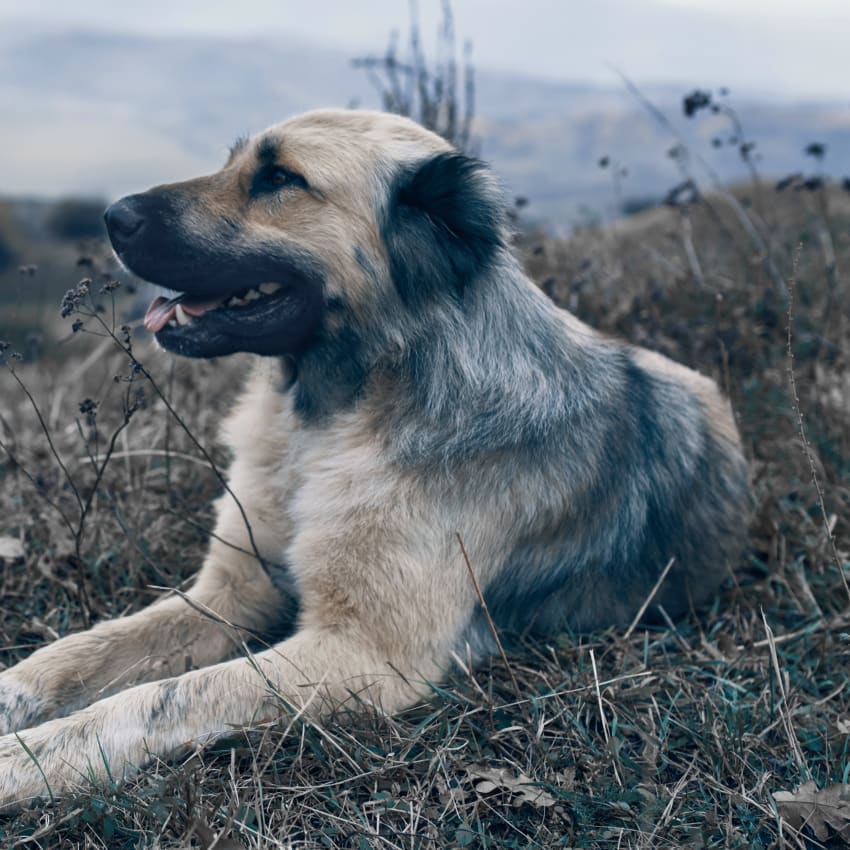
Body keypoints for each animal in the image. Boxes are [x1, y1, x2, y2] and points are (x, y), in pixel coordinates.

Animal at [0, 109, 744, 804]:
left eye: (280, 178)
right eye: (234, 162)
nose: (112, 216)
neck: (332, 417)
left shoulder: (363, 653)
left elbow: (161, 697)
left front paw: (29, 758)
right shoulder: (228, 594)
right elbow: (77, 651)